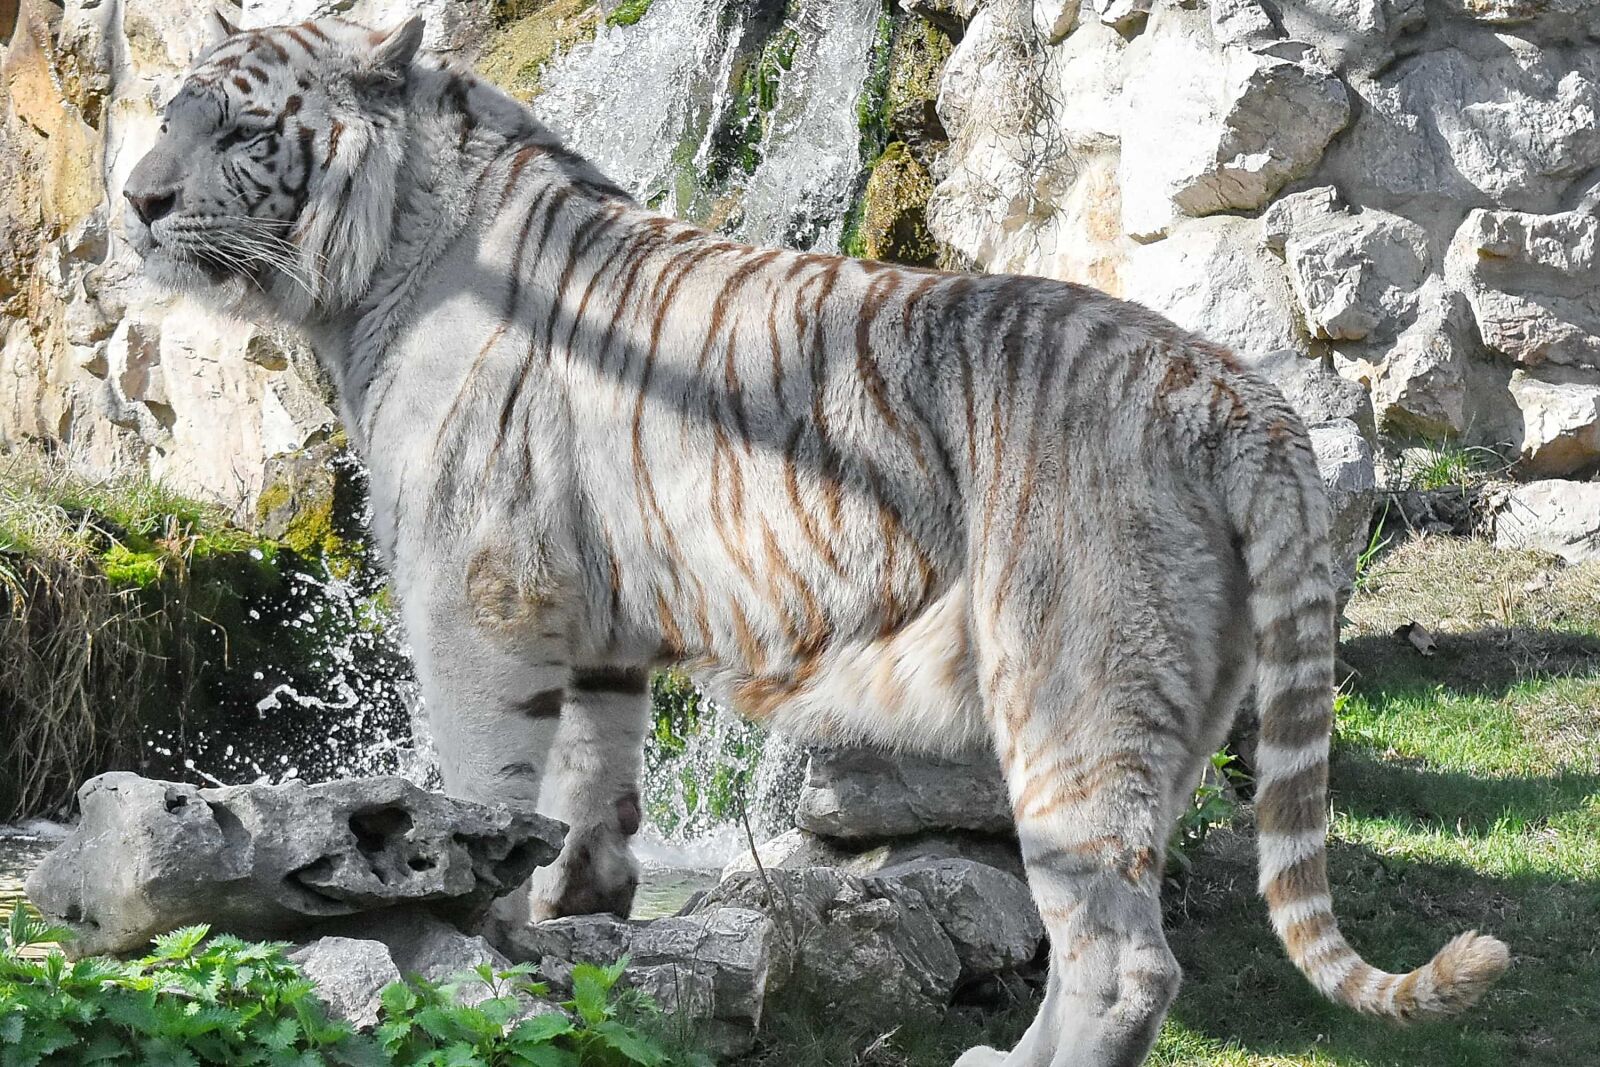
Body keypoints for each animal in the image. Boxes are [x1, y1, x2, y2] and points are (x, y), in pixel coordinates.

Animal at [121, 13, 1509, 1066]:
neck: (374, 269)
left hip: (1071, 692)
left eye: (241, 129)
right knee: (1100, 924)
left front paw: (469, 944)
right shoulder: (599, 617)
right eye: (170, 116)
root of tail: (1240, 399)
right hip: (1177, 701)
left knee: (1123, 958)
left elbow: (478, 778)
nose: (134, 202)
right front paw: (570, 927)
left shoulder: (481, 597)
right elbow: (588, 790)